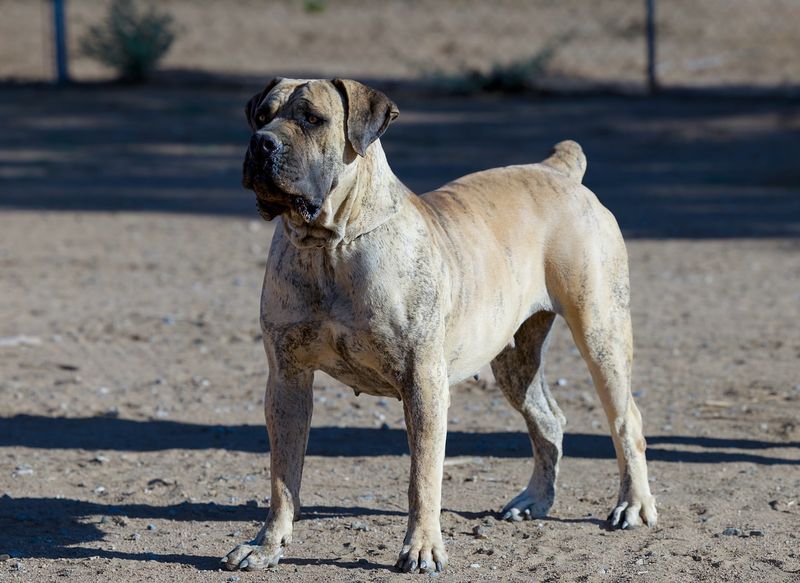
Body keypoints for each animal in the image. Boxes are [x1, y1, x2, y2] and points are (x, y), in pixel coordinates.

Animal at [223, 77, 656, 576]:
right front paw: (267, 545)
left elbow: (423, 476)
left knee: (627, 419)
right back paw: (533, 500)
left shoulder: (423, 382)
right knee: (548, 418)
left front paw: (422, 548)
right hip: (514, 360)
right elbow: (283, 475)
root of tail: (558, 171)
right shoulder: (287, 380)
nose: (261, 143)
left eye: (313, 119)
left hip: (601, 332)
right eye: (261, 117)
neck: (330, 247)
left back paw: (633, 505)